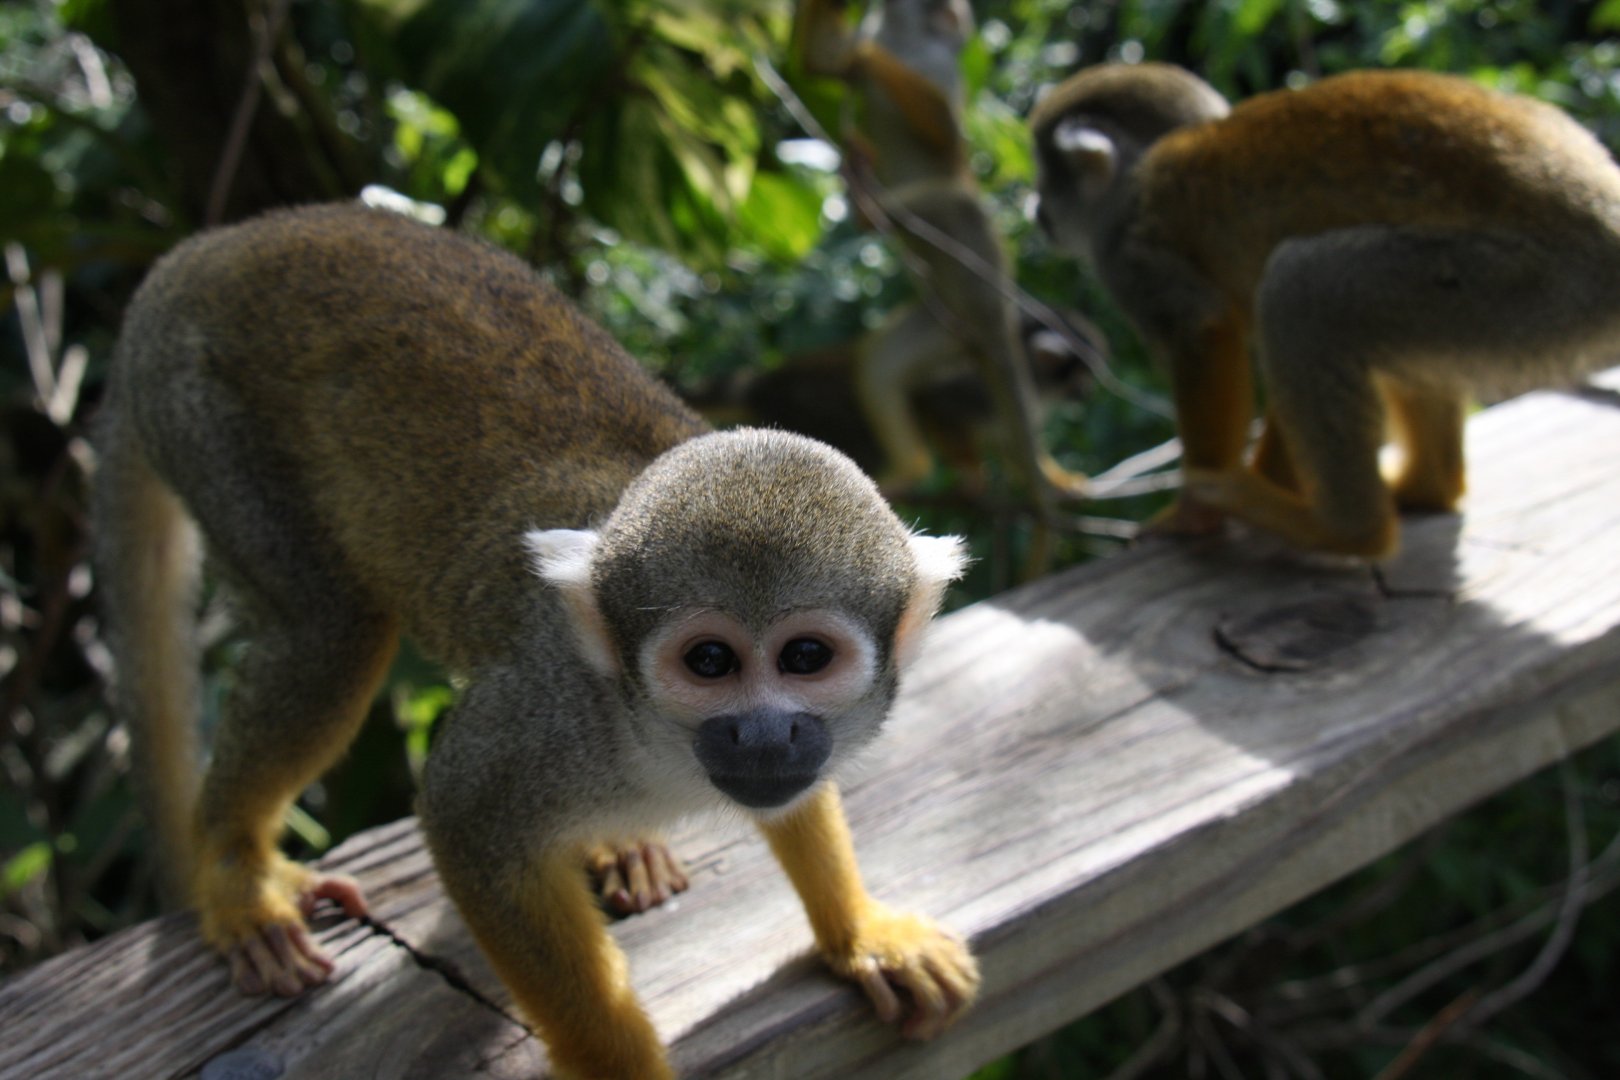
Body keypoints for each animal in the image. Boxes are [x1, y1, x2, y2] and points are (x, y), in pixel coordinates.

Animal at [92, 203, 979, 1078]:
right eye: (709, 662)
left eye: (805, 658)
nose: (765, 735)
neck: (649, 739)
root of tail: (210, 248)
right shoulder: (544, 717)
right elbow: (464, 820)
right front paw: (616, 1067)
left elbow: (799, 799)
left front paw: (860, 931)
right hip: (205, 410)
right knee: (330, 633)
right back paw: (235, 868)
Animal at [794, 0, 1092, 508]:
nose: (943, 14)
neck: (905, 37)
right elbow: (824, 63)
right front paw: (835, 18)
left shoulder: (939, 64)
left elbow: (944, 130)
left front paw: (868, 56)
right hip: (948, 324)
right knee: (884, 362)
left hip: (969, 248)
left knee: (946, 200)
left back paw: (875, 211)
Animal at [1030, 62, 1620, 557]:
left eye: (1045, 179)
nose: (1035, 211)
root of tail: (1602, 205)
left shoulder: (1129, 253)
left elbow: (1203, 330)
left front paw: (1193, 513)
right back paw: (1425, 489)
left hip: (1533, 288)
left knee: (1300, 288)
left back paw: (1343, 530)